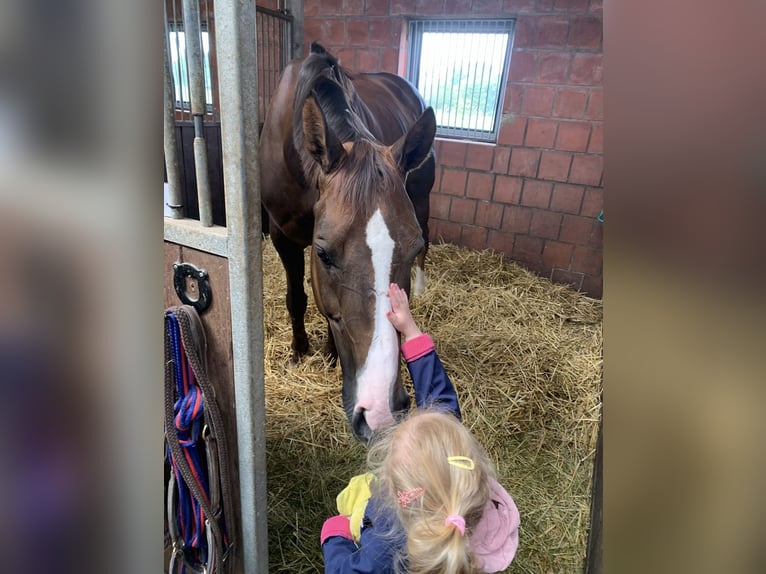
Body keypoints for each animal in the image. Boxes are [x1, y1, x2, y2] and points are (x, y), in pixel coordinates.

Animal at [260, 42, 436, 444]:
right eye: (324, 254)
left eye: (410, 248)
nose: (381, 411)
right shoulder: (281, 236)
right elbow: (298, 297)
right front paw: (299, 352)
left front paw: (327, 354)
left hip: (422, 198)